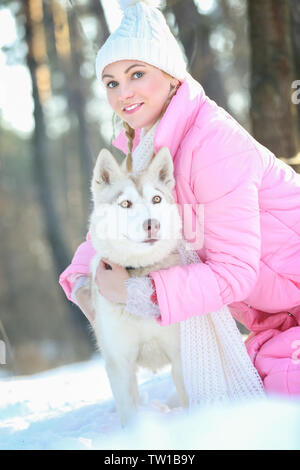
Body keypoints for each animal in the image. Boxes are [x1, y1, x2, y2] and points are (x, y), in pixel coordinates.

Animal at [88, 148, 188, 426]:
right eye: (125, 204)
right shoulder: (120, 363)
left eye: (156, 198)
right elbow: (128, 412)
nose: (152, 223)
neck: (139, 278)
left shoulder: (179, 355)